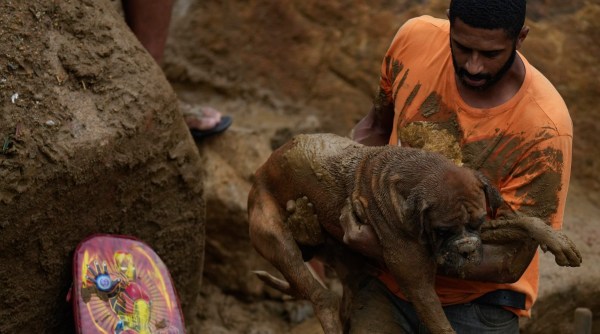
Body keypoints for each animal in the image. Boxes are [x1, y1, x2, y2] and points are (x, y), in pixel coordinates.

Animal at [248, 134, 580, 334]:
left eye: (475, 223)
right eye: (442, 230)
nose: (467, 250)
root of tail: (262, 168)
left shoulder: (486, 227)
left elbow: (524, 220)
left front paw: (557, 241)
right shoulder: (419, 285)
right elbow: (441, 325)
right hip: (273, 237)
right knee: (321, 296)